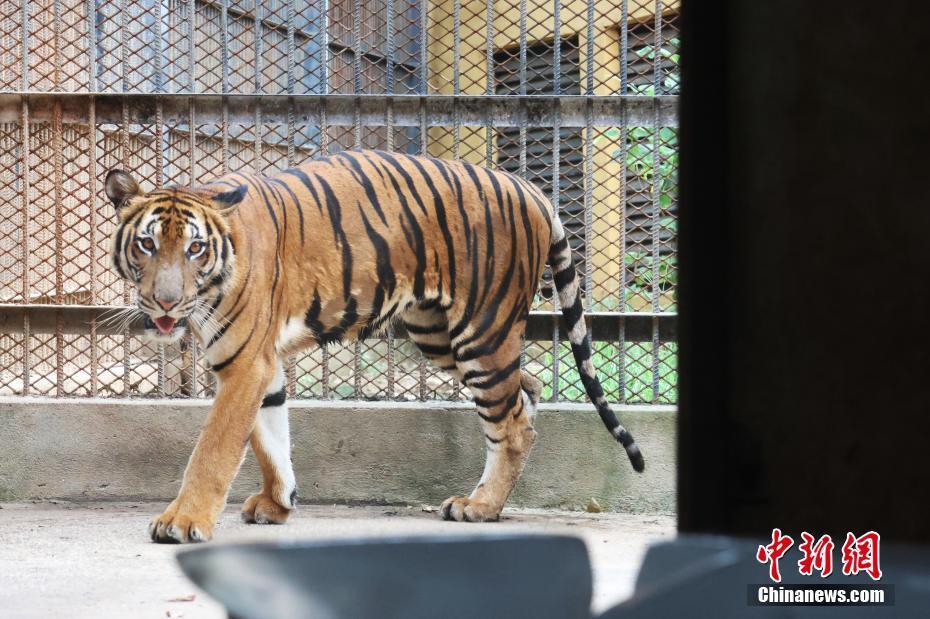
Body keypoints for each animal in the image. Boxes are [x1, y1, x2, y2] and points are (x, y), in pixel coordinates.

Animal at [105, 149, 645, 543]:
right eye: (147, 244)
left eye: (195, 248)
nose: (165, 302)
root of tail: (529, 187)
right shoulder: (258, 363)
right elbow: (270, 438)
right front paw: (279, 503)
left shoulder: (245, 364)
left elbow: (214, 449)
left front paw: (182, 521)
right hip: (439, 335)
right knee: (525, 390)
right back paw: (488, 496)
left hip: (482, 331)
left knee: (511, 426)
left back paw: (480, 507)